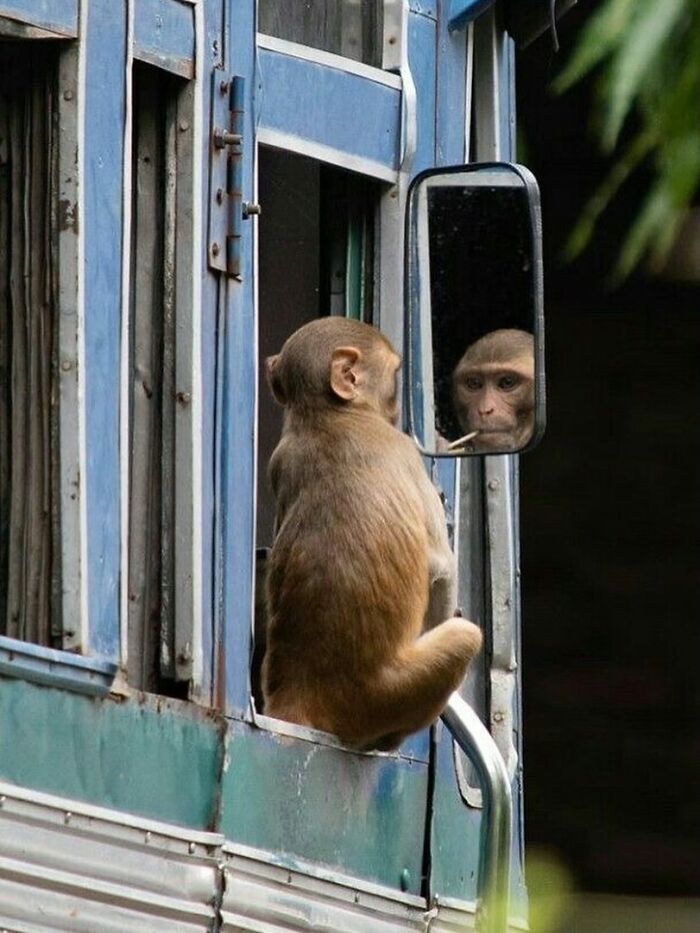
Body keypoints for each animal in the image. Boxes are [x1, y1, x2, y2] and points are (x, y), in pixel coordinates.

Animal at [261, 317, 482, 750]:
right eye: (395, 375)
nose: (396, 409)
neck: (326, 415)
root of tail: (301, 696)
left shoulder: (280, 460)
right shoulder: (405, 451)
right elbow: (440, 566)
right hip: (387, 695)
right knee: (466, 636)